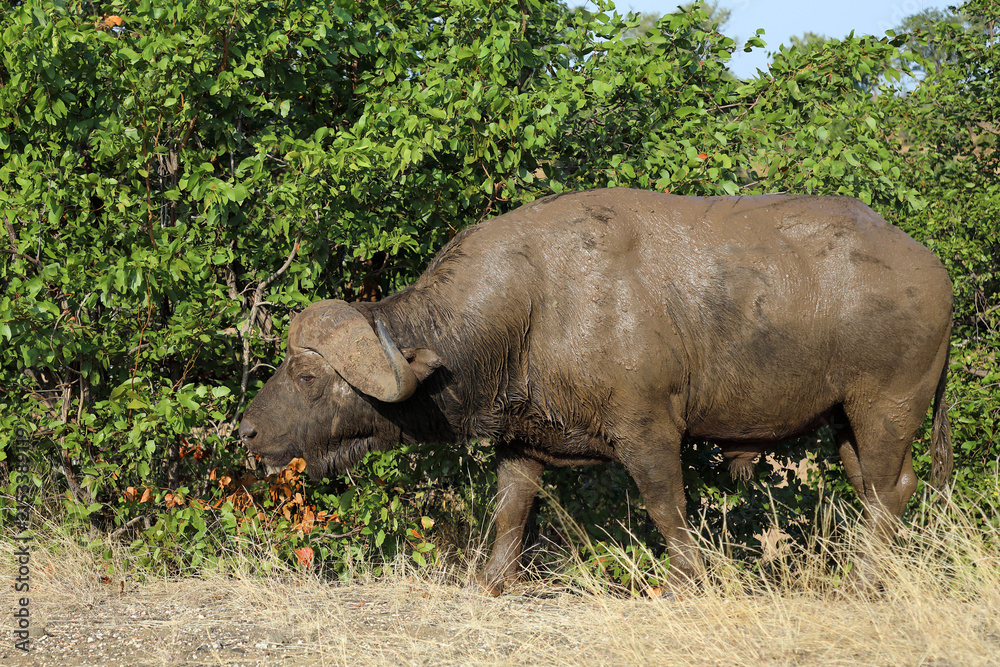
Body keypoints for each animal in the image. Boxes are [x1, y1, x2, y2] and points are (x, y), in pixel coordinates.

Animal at [239, 188, 953, 594]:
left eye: (307, 377)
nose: (245, 431)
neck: (532, 304)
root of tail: (931, 268)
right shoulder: (521, 443)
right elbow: (509, 515)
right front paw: (490, 584)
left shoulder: (649, 432)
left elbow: (667, 509)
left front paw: (694, 582)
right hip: (846, 423)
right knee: (883, 491)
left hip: (885, 409)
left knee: (889, 493)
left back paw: (862, 582)